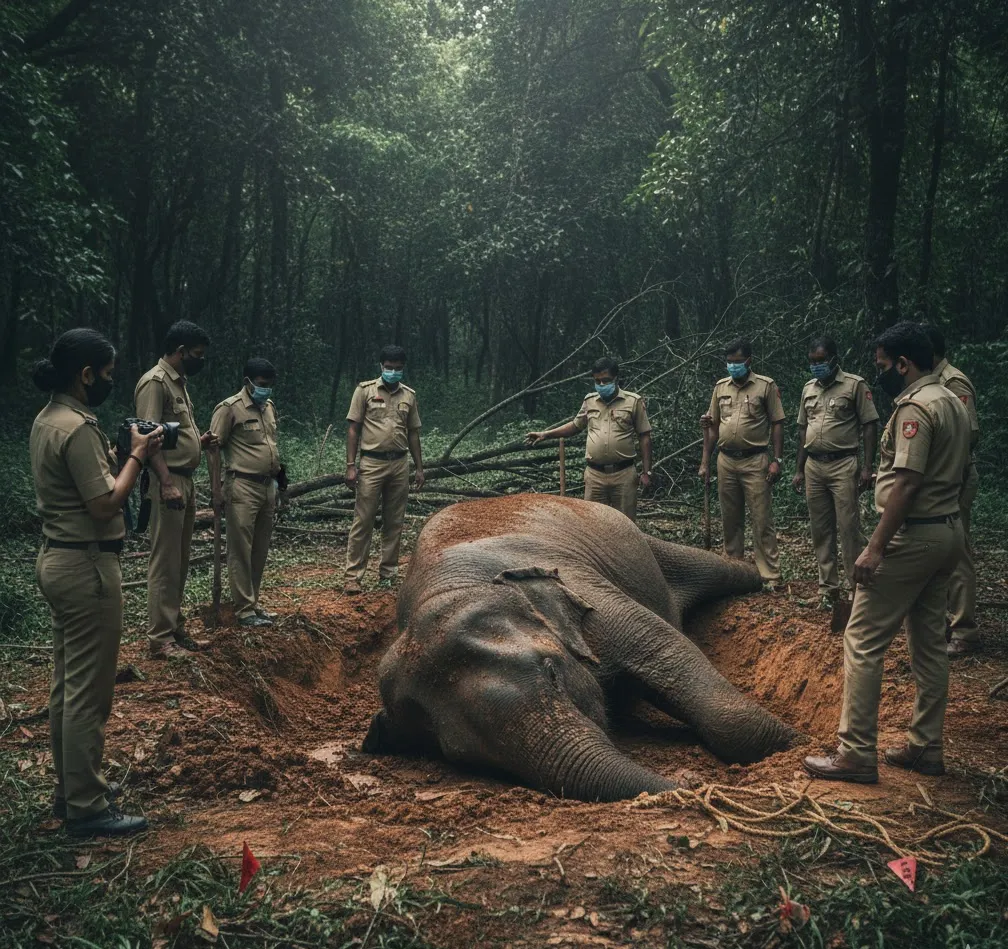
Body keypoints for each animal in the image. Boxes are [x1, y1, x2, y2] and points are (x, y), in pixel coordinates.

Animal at [362, 495, 797, 801]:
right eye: (461, 754)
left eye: (553, 672)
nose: (689, 786)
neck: (452, 586)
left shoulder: (585, 590)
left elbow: (663, 646)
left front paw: (792, 744)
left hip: (629, 533)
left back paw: (760, 578)